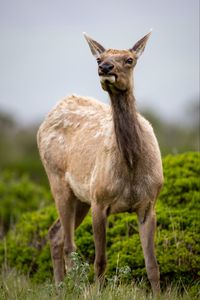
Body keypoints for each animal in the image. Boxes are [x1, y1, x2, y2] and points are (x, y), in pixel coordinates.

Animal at [36, 31, 163, 294]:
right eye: (99, 58)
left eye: (129, 59)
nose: (105, 68)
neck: (131, 165)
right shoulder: (100, 201)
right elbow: (100, 261)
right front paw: (96, 291)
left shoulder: (149, 203)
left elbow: (152, 265)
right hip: (58, 181)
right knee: (68, 245)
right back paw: (70, 288)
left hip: (80, 197)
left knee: (55, 234)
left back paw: (61, 287)